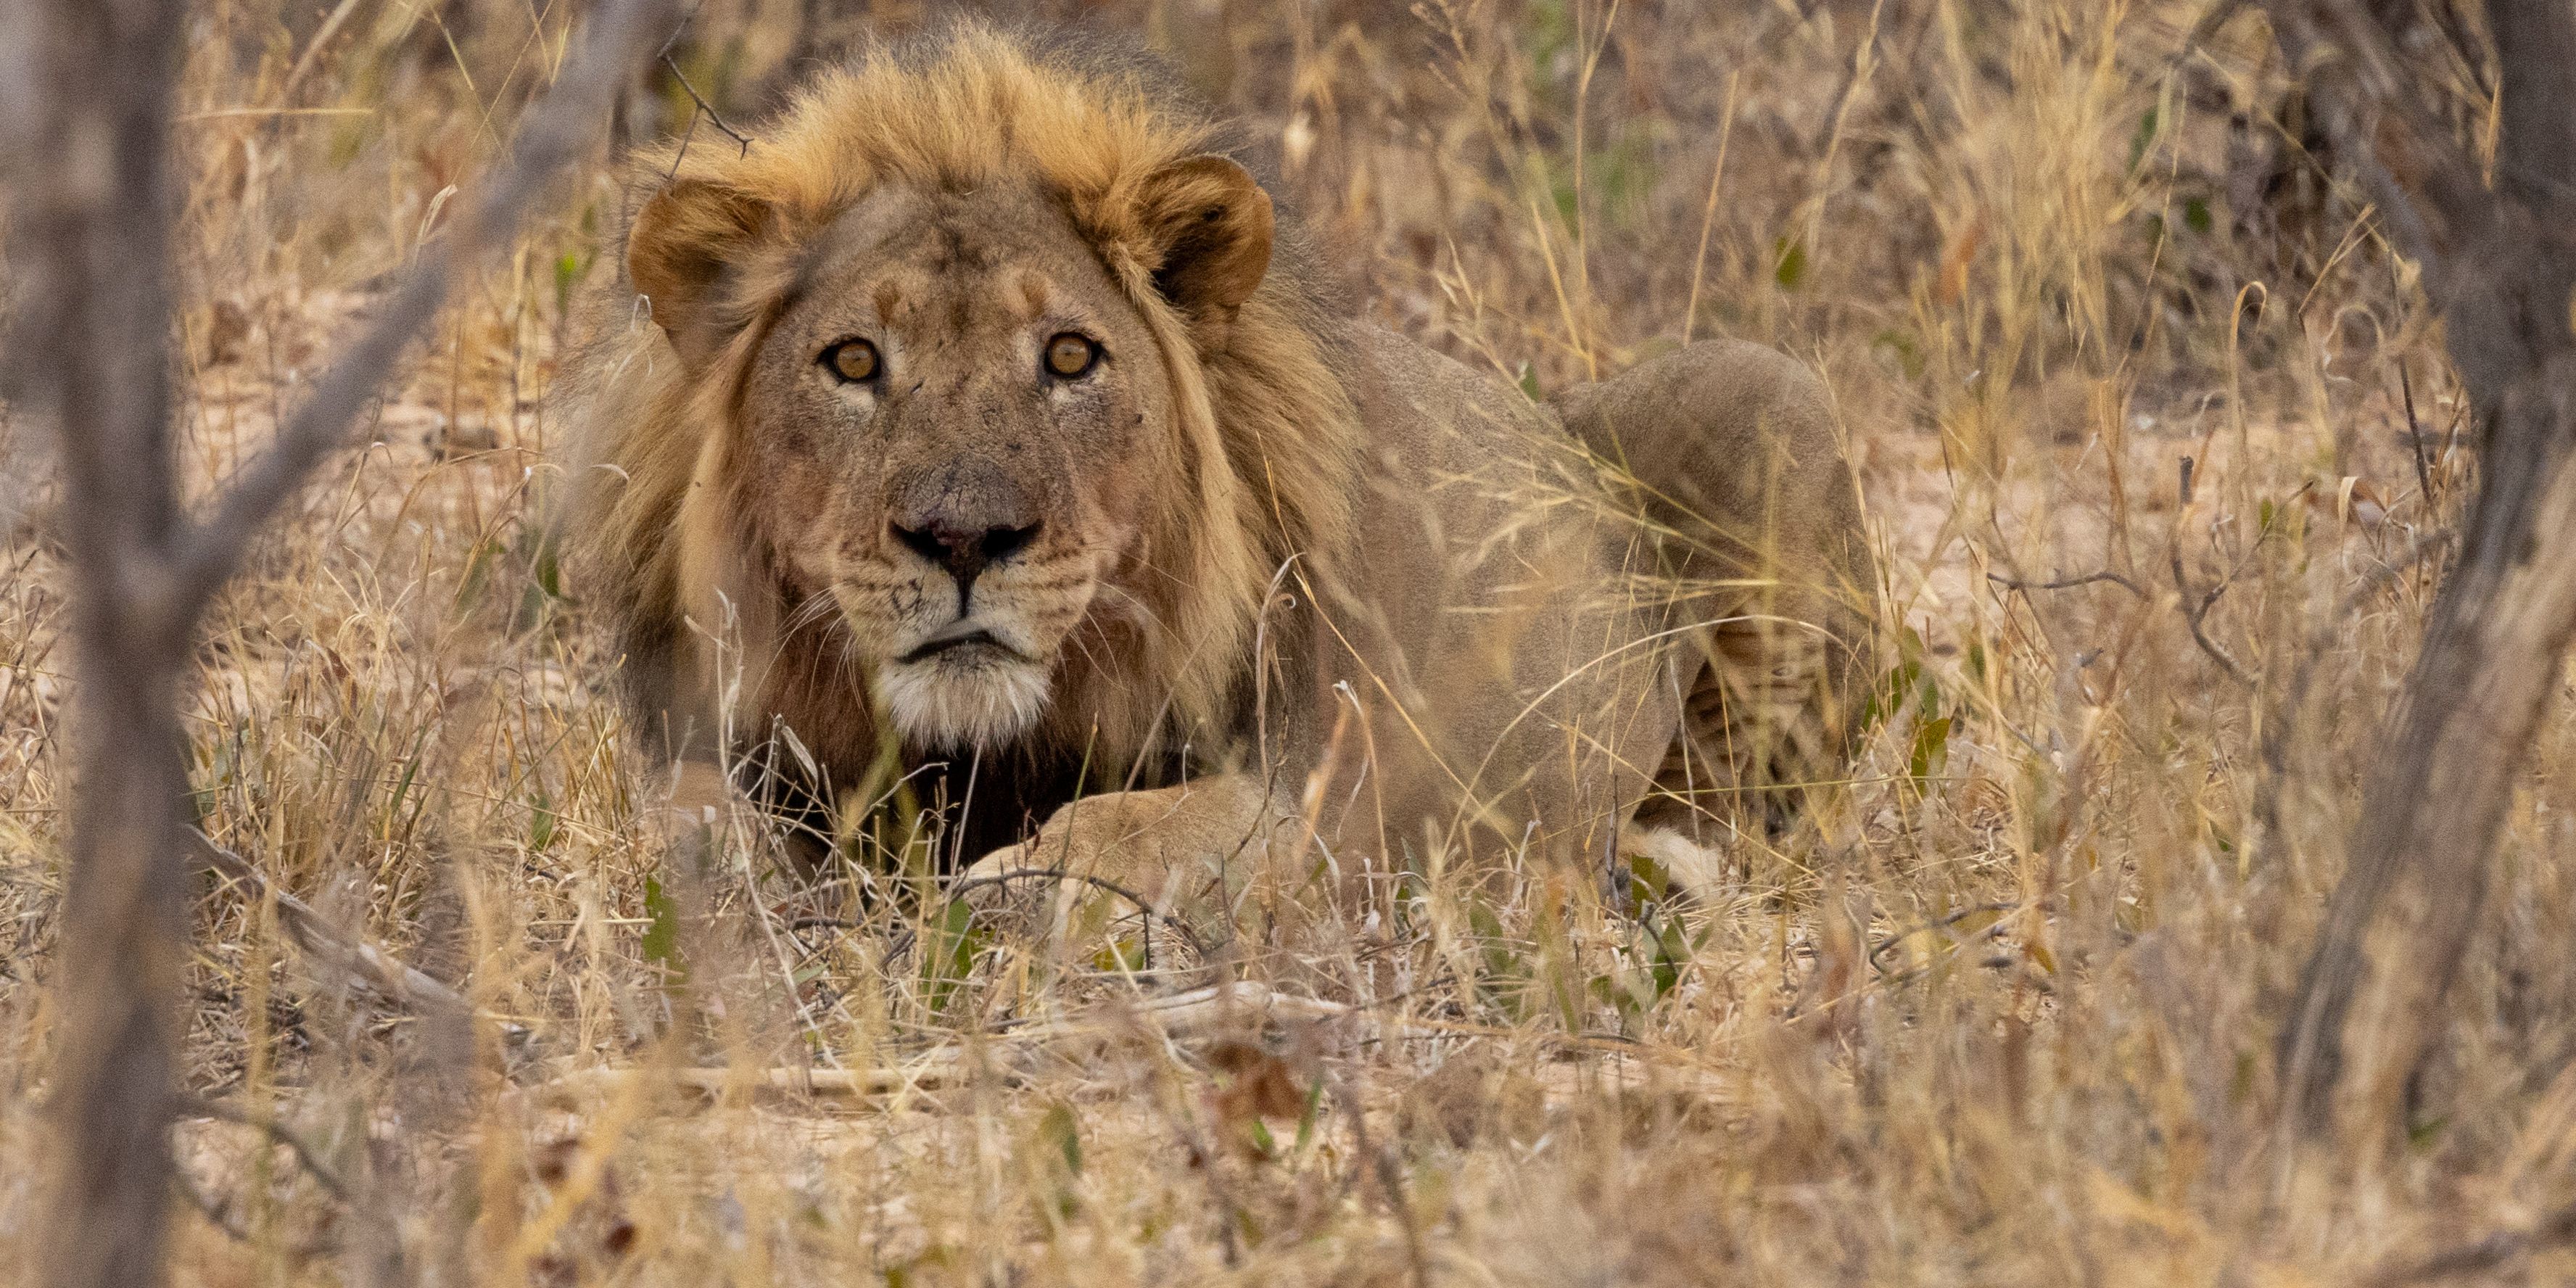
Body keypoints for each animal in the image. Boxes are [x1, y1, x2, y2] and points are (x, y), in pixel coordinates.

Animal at [559, 24, 1877, 943]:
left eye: (1070, 358)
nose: (964, 539)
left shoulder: (1317, 796)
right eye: (851, 363)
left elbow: (1137, 830)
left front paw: (996, 895)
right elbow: (676, 817)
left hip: (1776, 397)